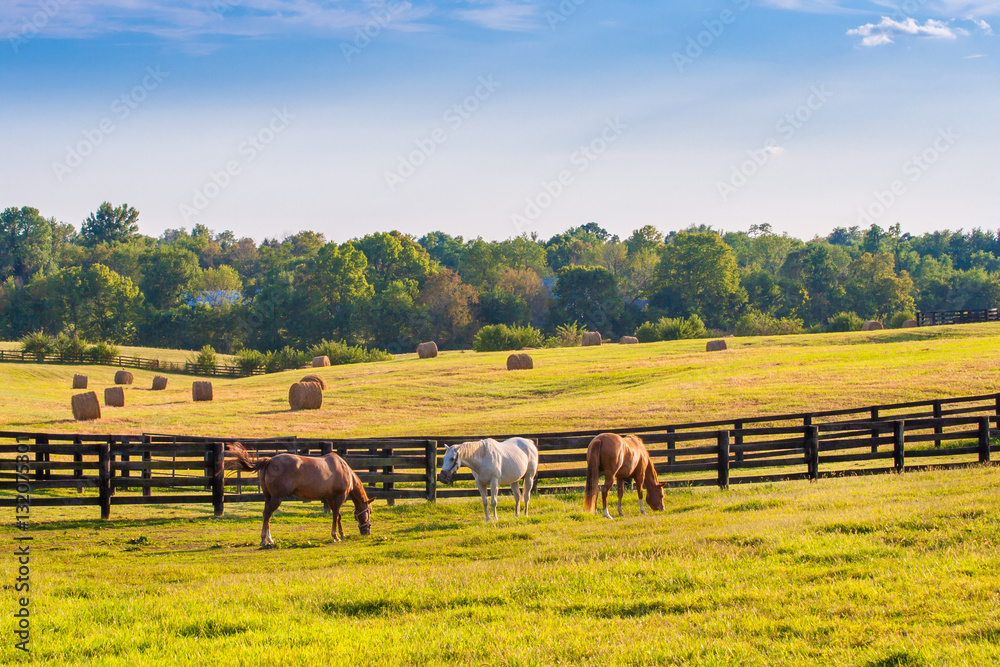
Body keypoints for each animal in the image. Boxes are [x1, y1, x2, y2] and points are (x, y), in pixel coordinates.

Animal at [223, 440, 372, 544]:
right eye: (369, 511)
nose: (367, 531)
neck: (343, 469)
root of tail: (270, 461)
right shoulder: (339, 498)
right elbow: (335, 516)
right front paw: (335, 536)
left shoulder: (330, 498)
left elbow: (338, 516)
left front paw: (342, 534)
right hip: (277, 498)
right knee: (267, 513)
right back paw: (265, 539)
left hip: (268, 497)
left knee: (266, 514)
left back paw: (269, 539)